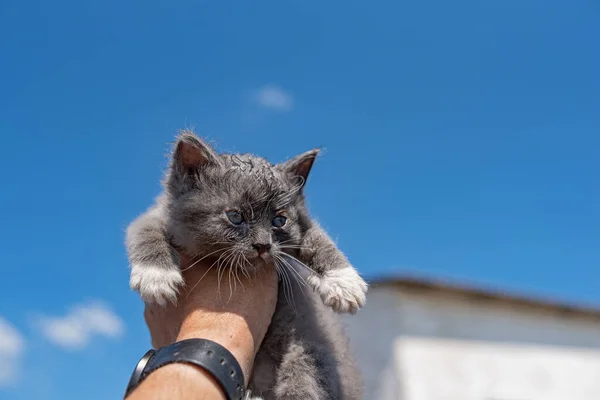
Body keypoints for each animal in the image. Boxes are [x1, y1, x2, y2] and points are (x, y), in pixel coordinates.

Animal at [126, 130, 366, 396]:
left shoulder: (303, 227)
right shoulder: (157, 215)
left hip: (303, 348)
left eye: (279, 220)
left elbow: (318, 238)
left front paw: (344, 282)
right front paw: (156, 276)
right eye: (235, 216)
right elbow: (146, 231)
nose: (262, 245)